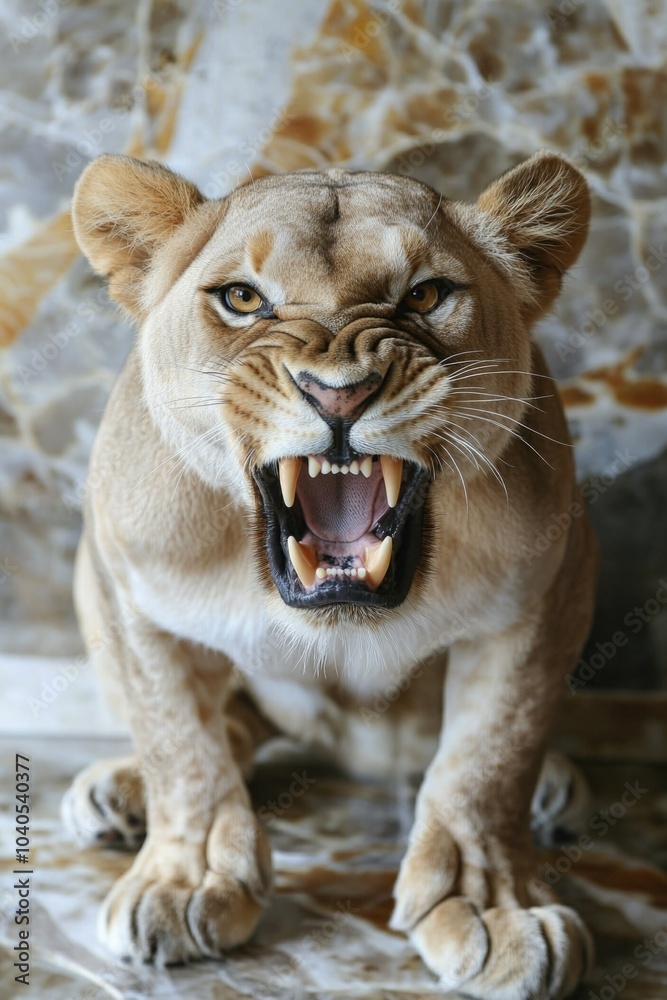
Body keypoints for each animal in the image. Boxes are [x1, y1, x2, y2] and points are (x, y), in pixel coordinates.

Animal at [61, 150, 597, 998]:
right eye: (243, 299)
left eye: (425, 294)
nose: (337, 394)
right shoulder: (123, 582)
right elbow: (180, 744)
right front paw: (185, 882)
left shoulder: (548, 587)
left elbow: (490, 760)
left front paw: (490, 909)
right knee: (233, 723)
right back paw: (118, 791)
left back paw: (553, 787)